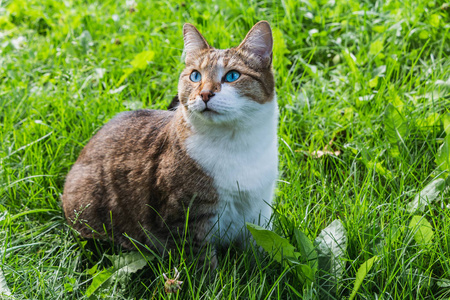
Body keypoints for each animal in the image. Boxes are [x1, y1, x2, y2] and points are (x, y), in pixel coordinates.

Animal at [62, 21, 278, 270]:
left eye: (233, 75)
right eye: (195, 76)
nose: (205, 94)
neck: (235, 143)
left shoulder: (259, 210)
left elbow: (260, 247)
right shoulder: (186, 220)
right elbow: (202, 264)